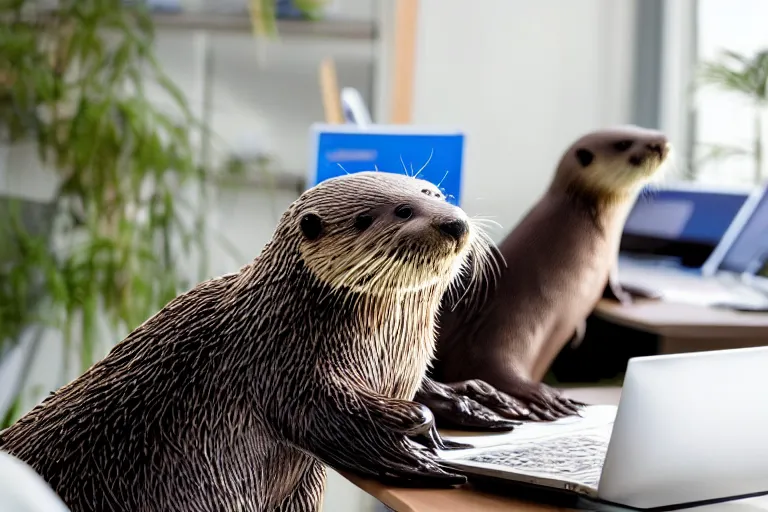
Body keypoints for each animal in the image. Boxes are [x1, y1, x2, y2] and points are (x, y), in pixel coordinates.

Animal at [0, 173, 500, 512]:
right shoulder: (280, 364)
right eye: (395, 212)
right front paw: (419, 448)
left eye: (434, 194)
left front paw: (479, 403)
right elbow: (326, 416)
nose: (453, 223)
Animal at [416, 126, 668, 430]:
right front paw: (543, 397)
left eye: (644, 130)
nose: (662, 142)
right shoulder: (501, 317)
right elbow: (487, 364)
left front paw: (641, 293)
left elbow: (614, 286)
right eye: (624, 143)